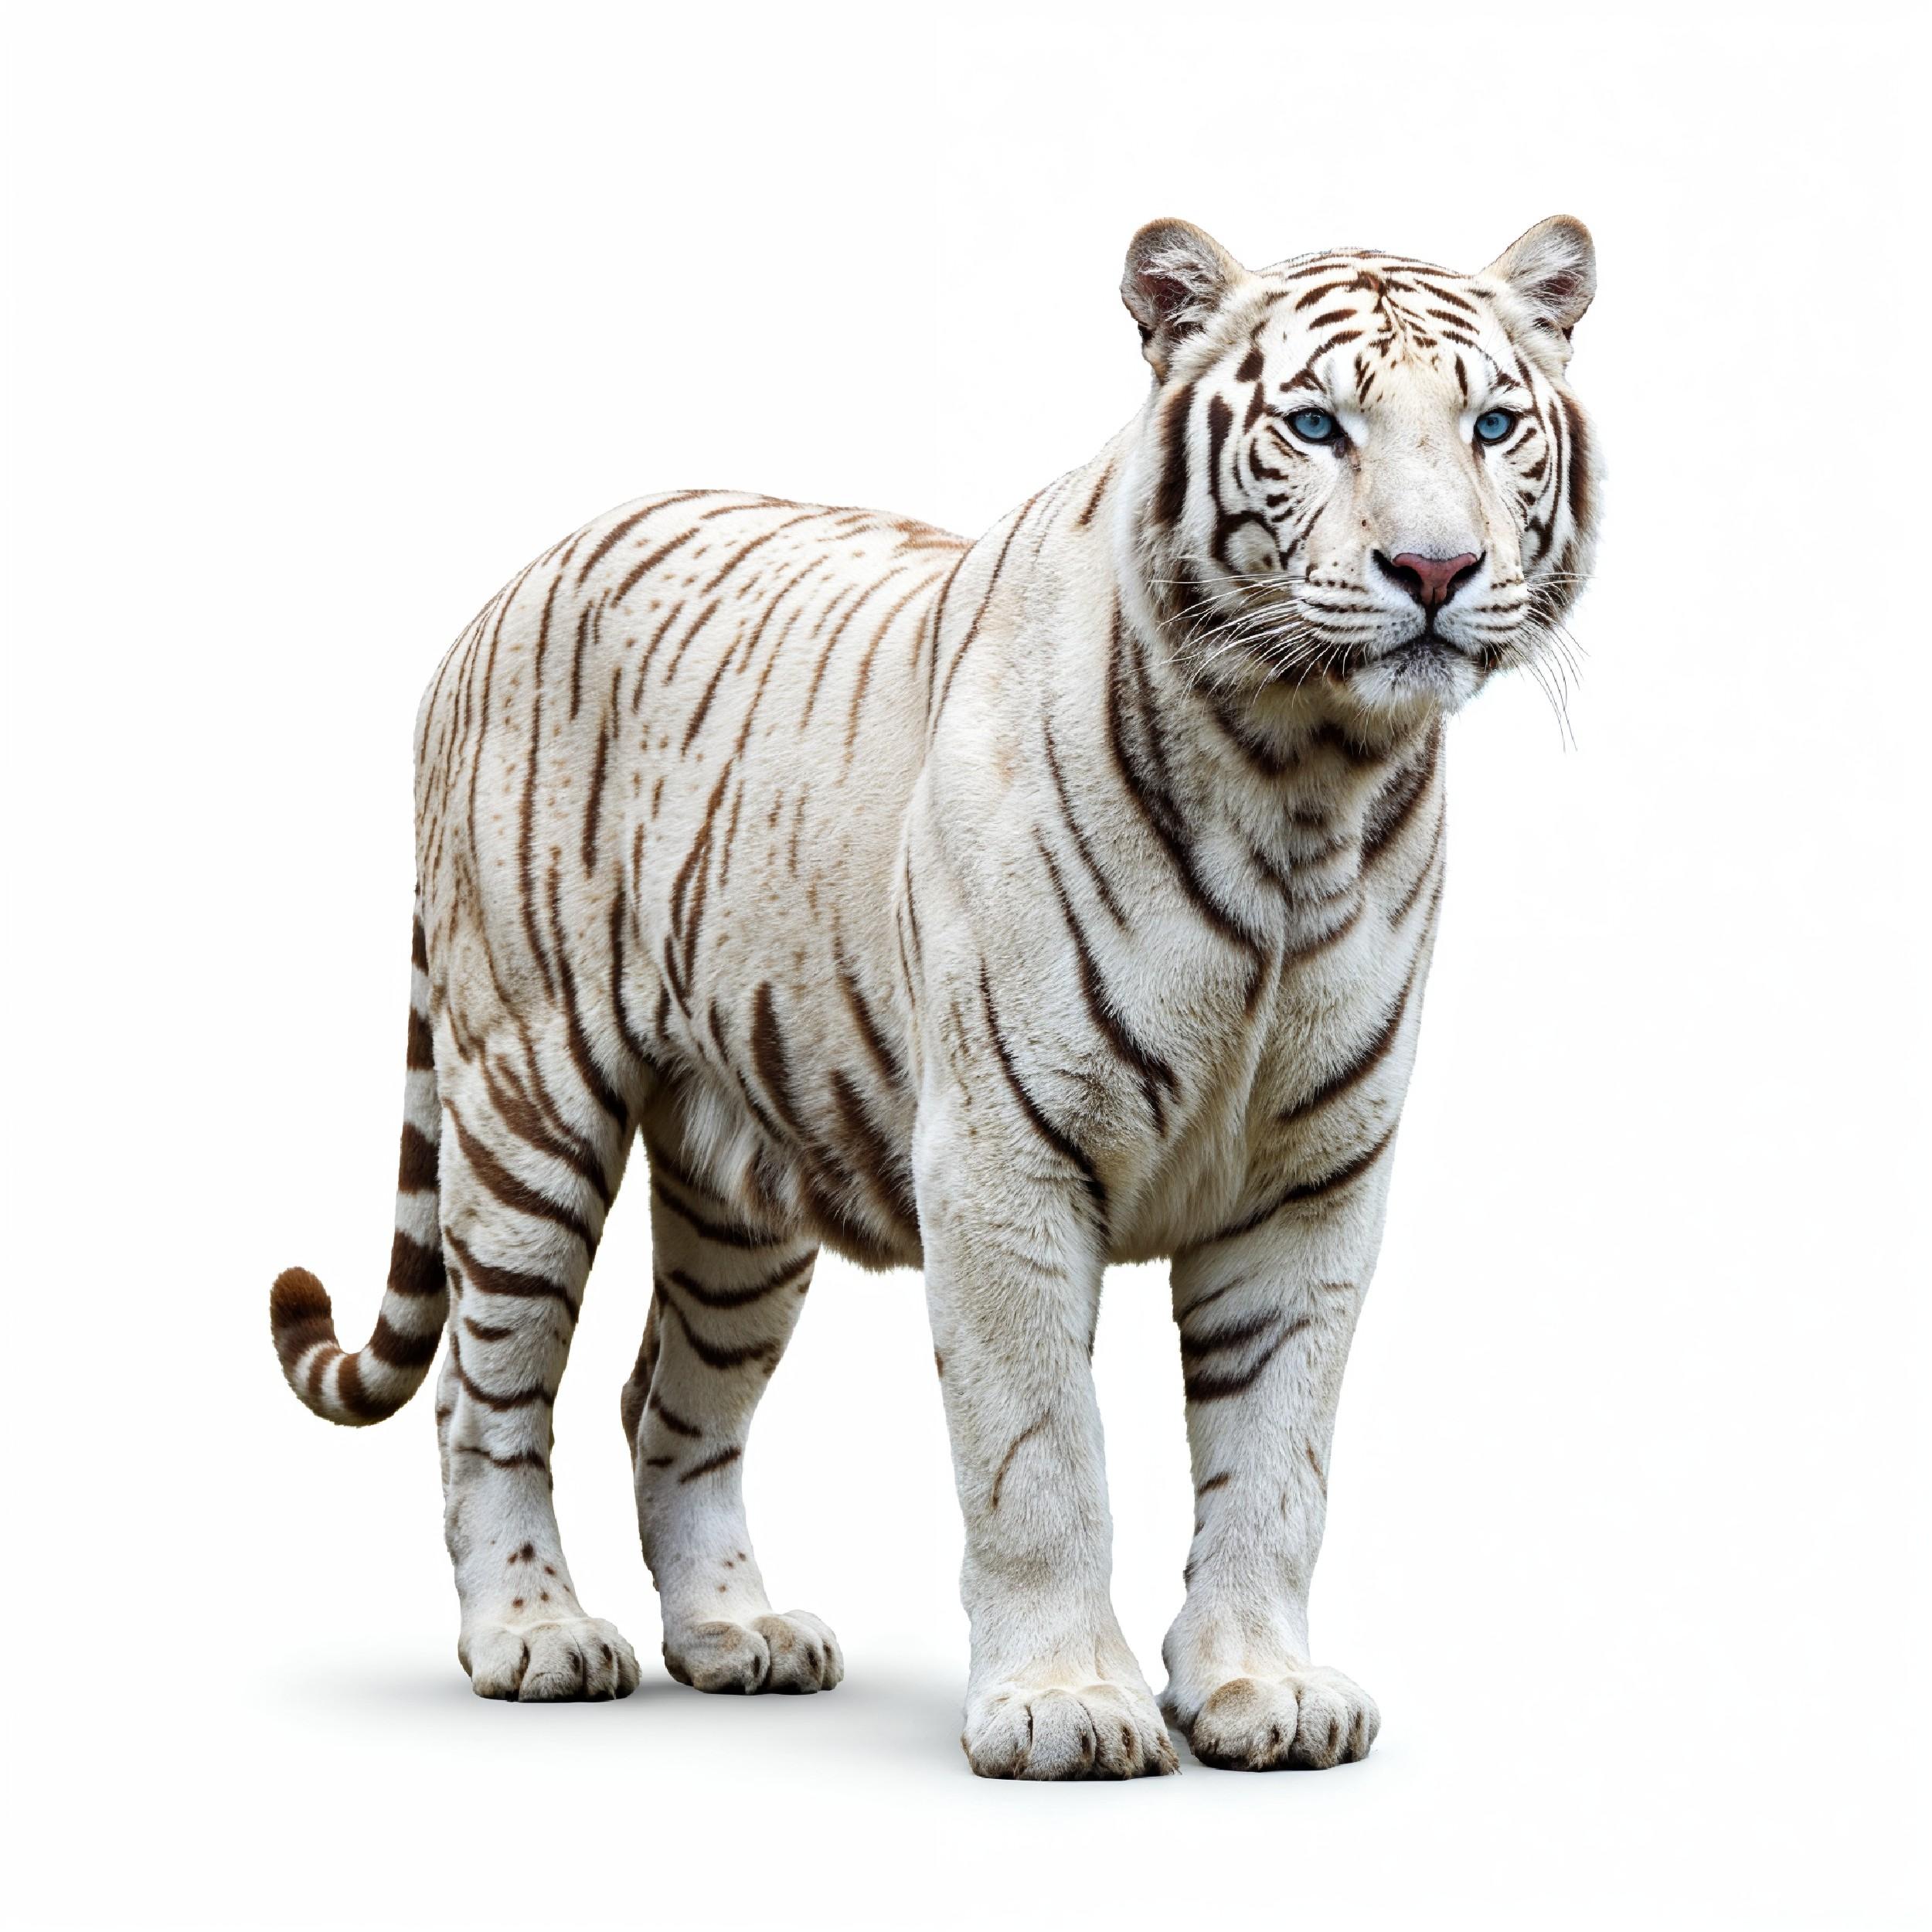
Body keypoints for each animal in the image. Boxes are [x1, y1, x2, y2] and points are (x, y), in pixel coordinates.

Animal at [269, 213, 1598, 1778]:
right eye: (1319, 426)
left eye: (1493, 425)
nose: (1436, 569)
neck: (1307, 777)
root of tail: (504, 591)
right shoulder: (1005, 1153)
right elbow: (1040, 1455)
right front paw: (1065, 1707)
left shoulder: (1316, 1177)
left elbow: (1280, 1456)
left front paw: (1259, 1690)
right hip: (525, 1100)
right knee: (488, 1392)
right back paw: (534, 1637)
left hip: (740, 1189)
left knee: (668, 1401)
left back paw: (737, 1633)